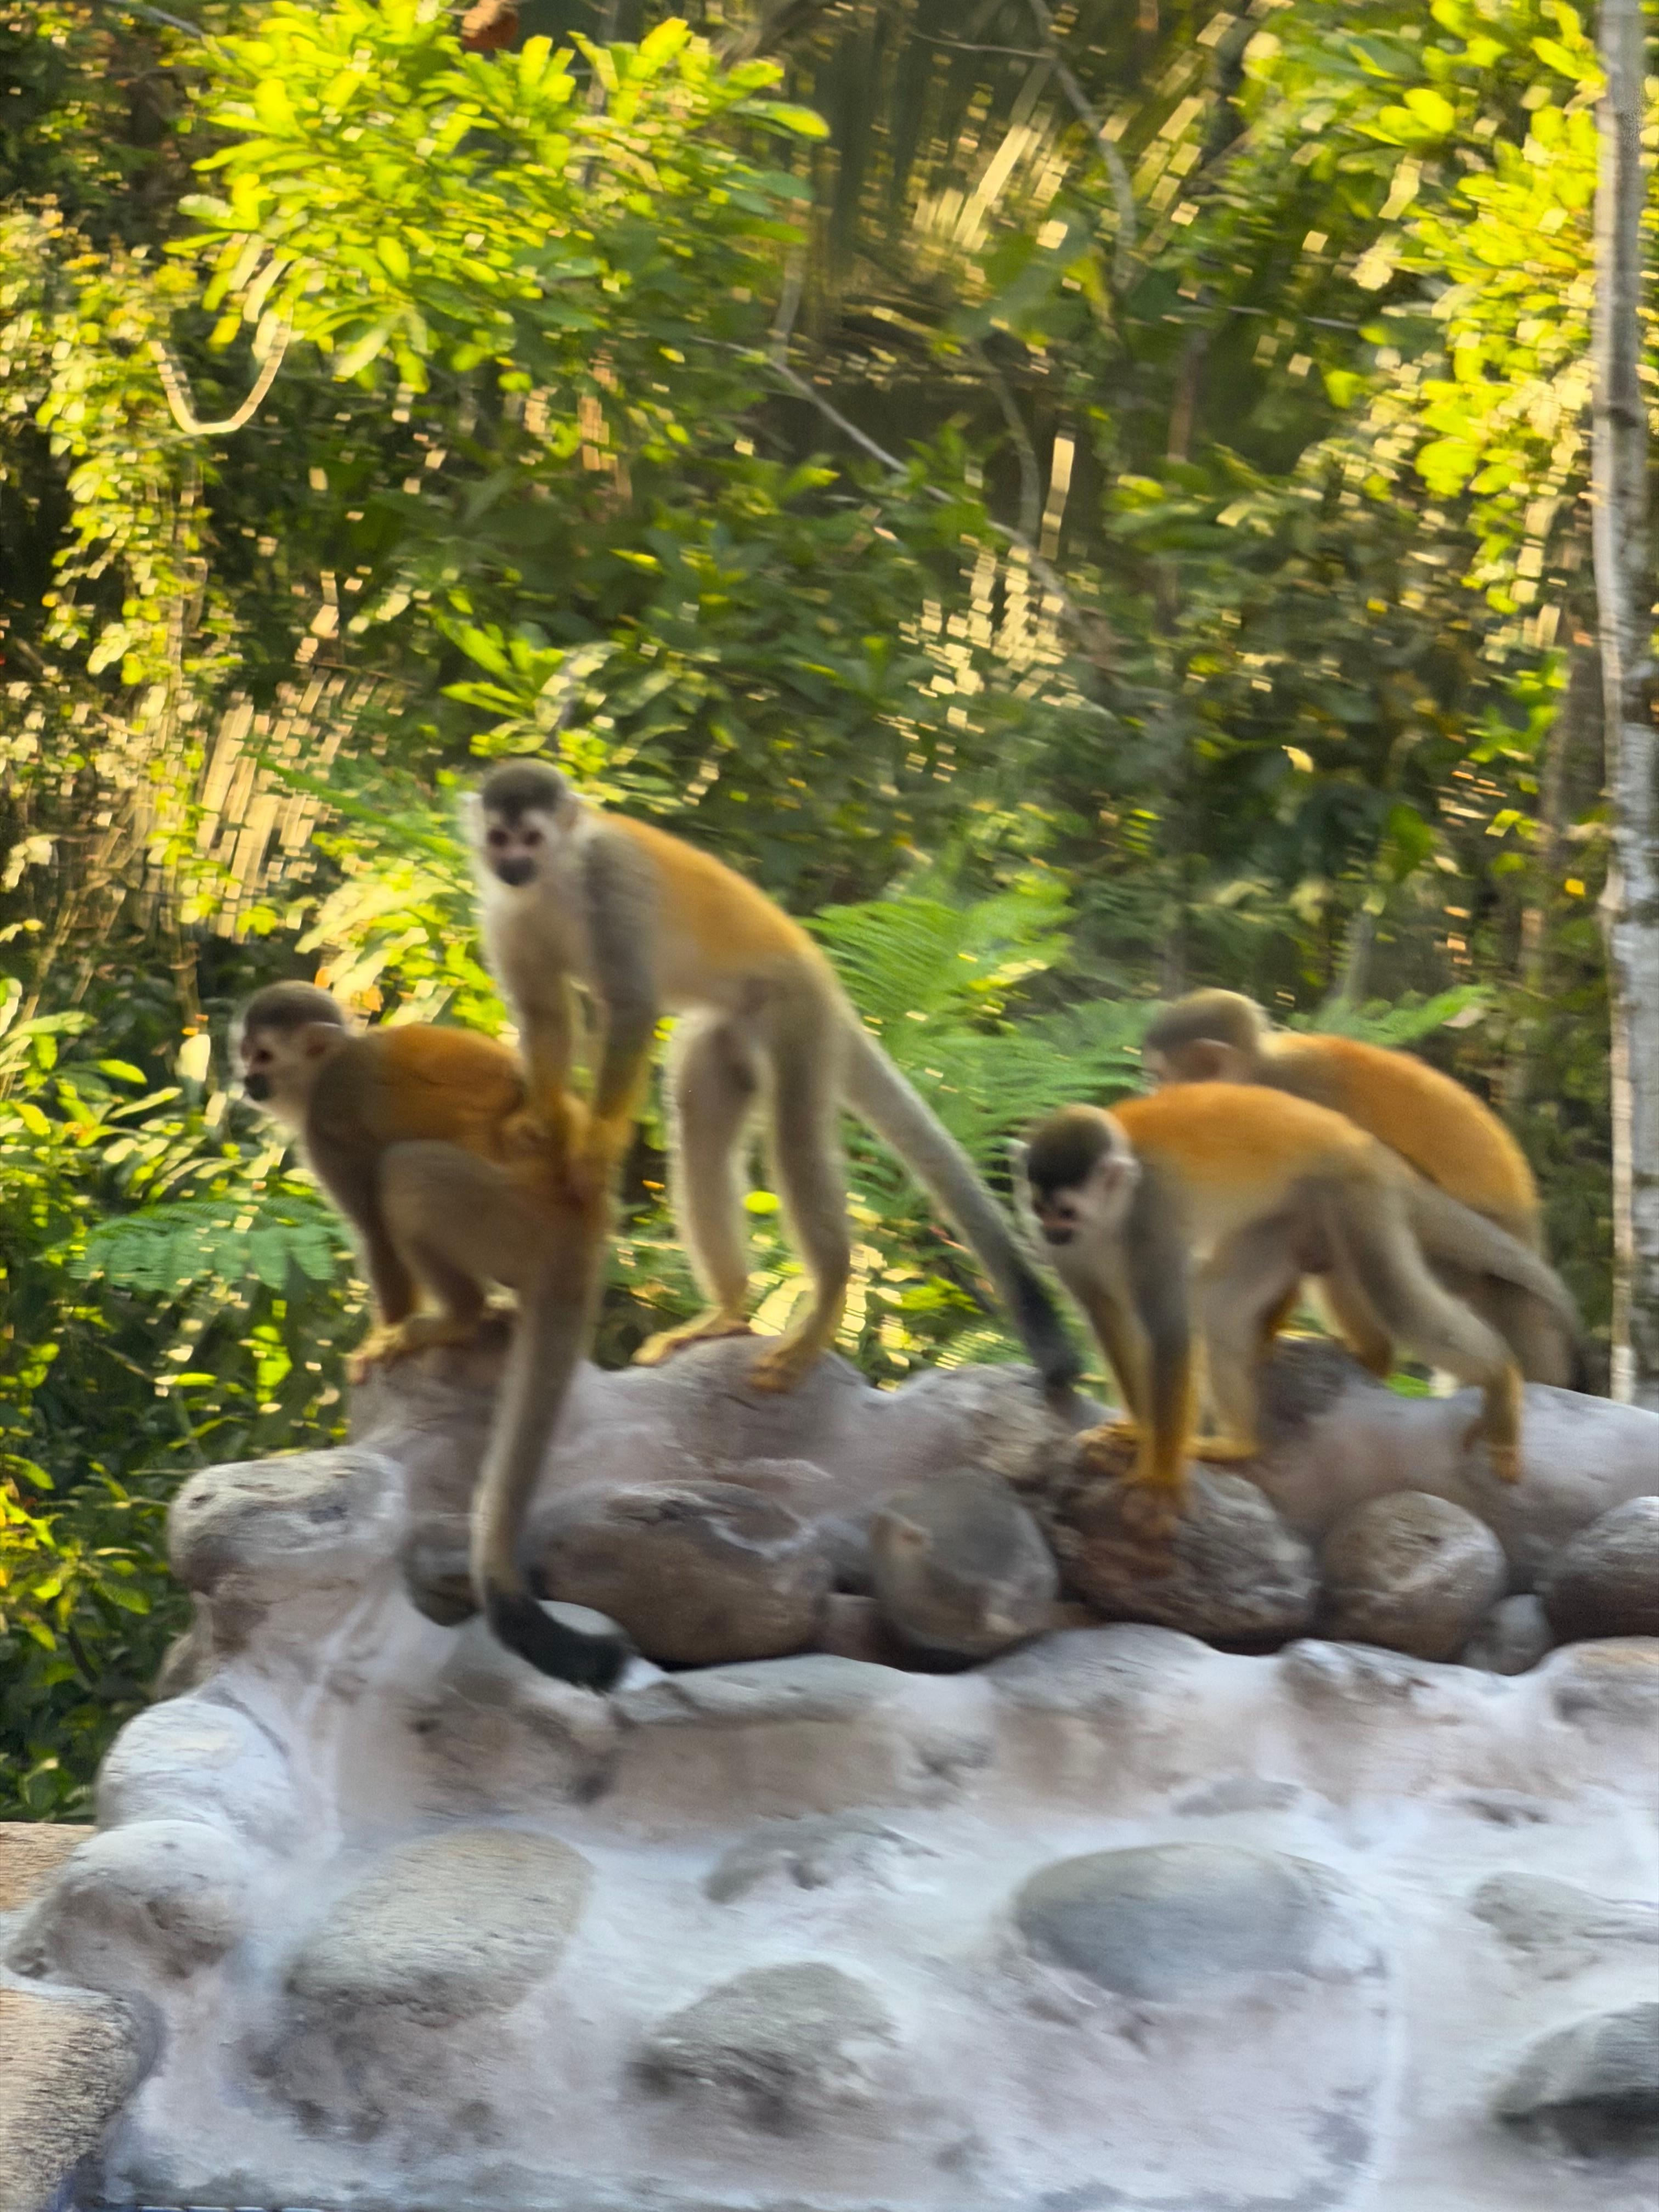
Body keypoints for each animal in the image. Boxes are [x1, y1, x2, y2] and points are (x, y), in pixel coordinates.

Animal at [237, 983, 627, 1689]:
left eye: (265, 1055)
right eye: (245, 1053)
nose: (246, 1080)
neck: (331, 1065)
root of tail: (582, 1220)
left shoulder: (329, 1123)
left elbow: (376, 1232)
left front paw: (385, 1332)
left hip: (510, 1218)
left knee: (405, 1172)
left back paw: (461, 1314)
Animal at [467, 758, 1082, 1399]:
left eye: (532, 838)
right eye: (500, 838)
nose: (513, 865)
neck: (553, 877)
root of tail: (829, 986)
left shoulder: (609, 883)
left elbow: (632, 1008)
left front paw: (595, 1146)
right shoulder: (505, 909)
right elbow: (545, 1015)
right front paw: (539, 1118)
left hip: (797, 1017)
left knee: (794, 1140)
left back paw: (826, 1299)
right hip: (729, 1032)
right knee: (703, 1134)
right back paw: (726, 1310)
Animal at [1012, 1086, 1565, 1532]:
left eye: (1066, 1211)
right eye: (1041, 1209)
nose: (1049, 1232)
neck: (1110, 1217)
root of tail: (1361, 1140)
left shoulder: (1153, 1217)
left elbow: (1168, 1333)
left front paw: (1161, 1481)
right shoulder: (1074, 1251)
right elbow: (1110, 1318)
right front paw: (1138, 1432)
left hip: (1356, 1191)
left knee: (1397, 1299)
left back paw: (1499, 1379)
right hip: (1287, 1215)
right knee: (1220, 1310)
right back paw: (1241, 1445)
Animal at [1140, 989, 1586, 1388]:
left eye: (1162, 1078)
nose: (1153, 1097)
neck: (1258, 1076)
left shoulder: (1295, 1100)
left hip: (1469, 1277)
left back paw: (1374, 1356)